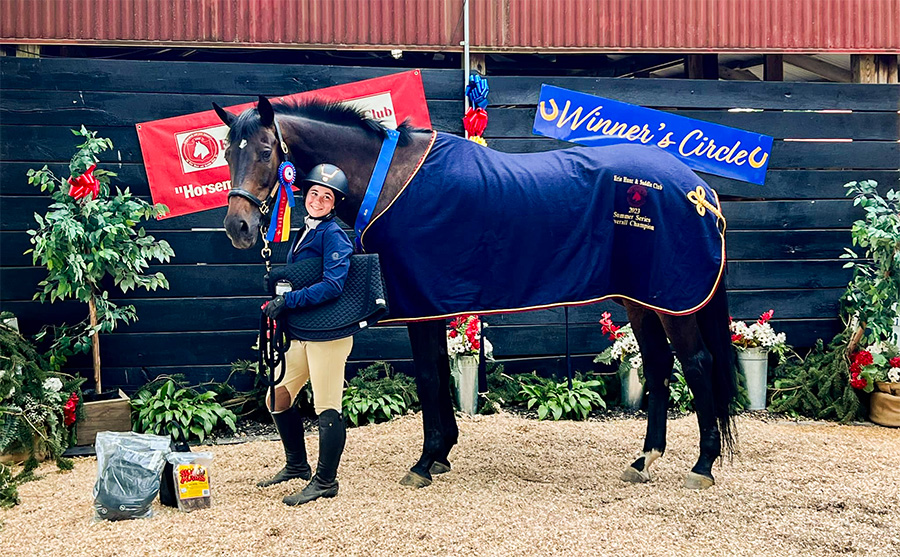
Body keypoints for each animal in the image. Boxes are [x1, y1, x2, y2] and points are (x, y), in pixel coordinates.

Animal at [213, 96, 740, 490]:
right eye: (227, 153)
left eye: (265, 151)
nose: (239, 228)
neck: (388, 175)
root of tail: (699, 192)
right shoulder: (432, 304)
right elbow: (439, 375)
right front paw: (442, 453)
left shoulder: (421, 306)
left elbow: (429, 377)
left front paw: (424, 463)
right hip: (644, 300)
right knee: (659, 364)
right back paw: (644, 459)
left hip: (674, 302)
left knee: (698, 364)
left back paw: (702, 467)